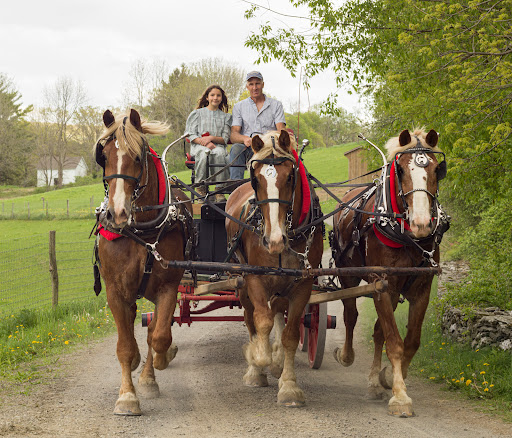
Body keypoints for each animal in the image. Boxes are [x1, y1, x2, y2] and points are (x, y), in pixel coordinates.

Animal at [93, 108, 193, 414]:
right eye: (104, 156)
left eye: (137, 158)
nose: (117, 213)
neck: (141, 231)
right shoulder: (115, 290)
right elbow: (125, 346)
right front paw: (127, 397)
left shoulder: (169, 287)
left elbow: (159, 337)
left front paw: (156, 365)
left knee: (154, 331)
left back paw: (150, 373)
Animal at [225, 131, 324, 408]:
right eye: (255, 179)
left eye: (290, 177)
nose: (274, 239)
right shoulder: (256, 280)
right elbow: (262, 323)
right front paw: (257, 359)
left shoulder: (302, 284)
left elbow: (290, 334)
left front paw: (289, 385)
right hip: (242, 282)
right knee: (251, 319)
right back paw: (257, 369)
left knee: (278, 311)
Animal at [332, 128, 448, 416]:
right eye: (402, 170)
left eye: (435, 169)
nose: (421, 223)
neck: (405, 235)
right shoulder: (381, 284)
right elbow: (394, 343)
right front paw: (400, 397)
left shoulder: (420, 289)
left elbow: (411, 341)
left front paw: (388, 379)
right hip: (350, 276)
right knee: (350, 317)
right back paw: (346, 355)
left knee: (377, 332)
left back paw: (375, 382)